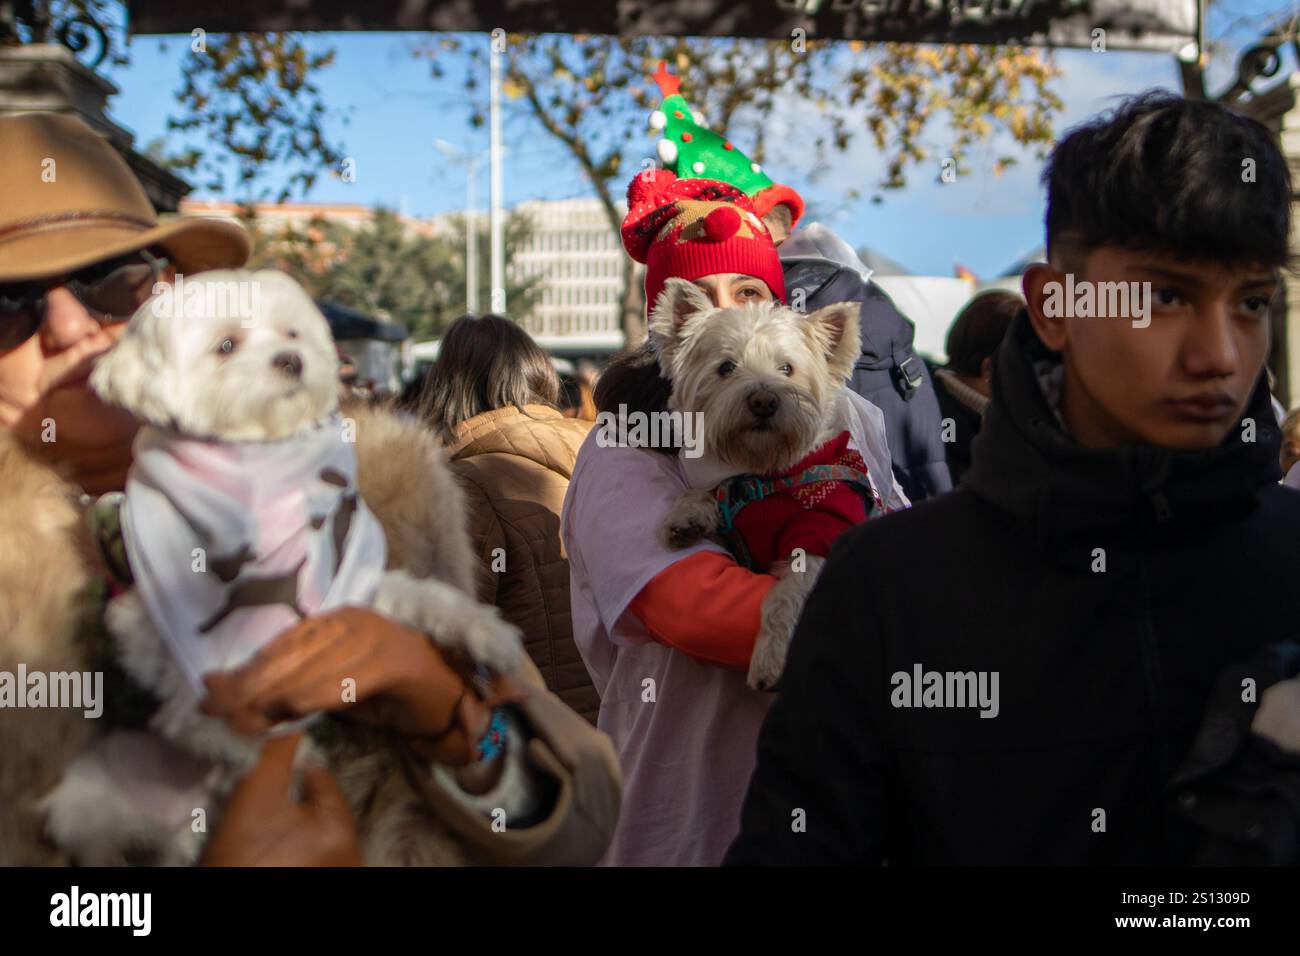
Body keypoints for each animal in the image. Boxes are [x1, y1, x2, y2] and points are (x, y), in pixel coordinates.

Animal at [45, 270, 522, 868]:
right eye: (226, 345)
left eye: (291, 332)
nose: (293, 359)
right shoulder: (140, 612)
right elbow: (189, 688)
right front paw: (243, 743)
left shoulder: (347, 583)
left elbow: (424, 599)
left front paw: (485, 634)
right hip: (89, 800)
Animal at [650, 280, 883, 691]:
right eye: (726, 367)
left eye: (787, 368)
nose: (764, 400)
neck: (762, 473)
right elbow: (704, 492)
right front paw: (687, 516)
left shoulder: (821, 530)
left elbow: (784, 595)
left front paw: (771, 660)